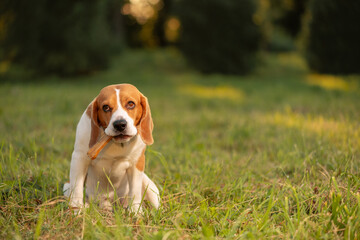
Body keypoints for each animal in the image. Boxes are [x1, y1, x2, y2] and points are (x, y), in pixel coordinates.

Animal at [63, 83, 160, 213]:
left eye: (131, 104)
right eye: (106, 107)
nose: (119, 124)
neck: (115, 143)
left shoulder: (137, 163)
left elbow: (135, 190)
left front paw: (135, 212)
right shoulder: (79, 158)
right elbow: (77, 187)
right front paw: (76, 209)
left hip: (151, 188)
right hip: (67, 186)